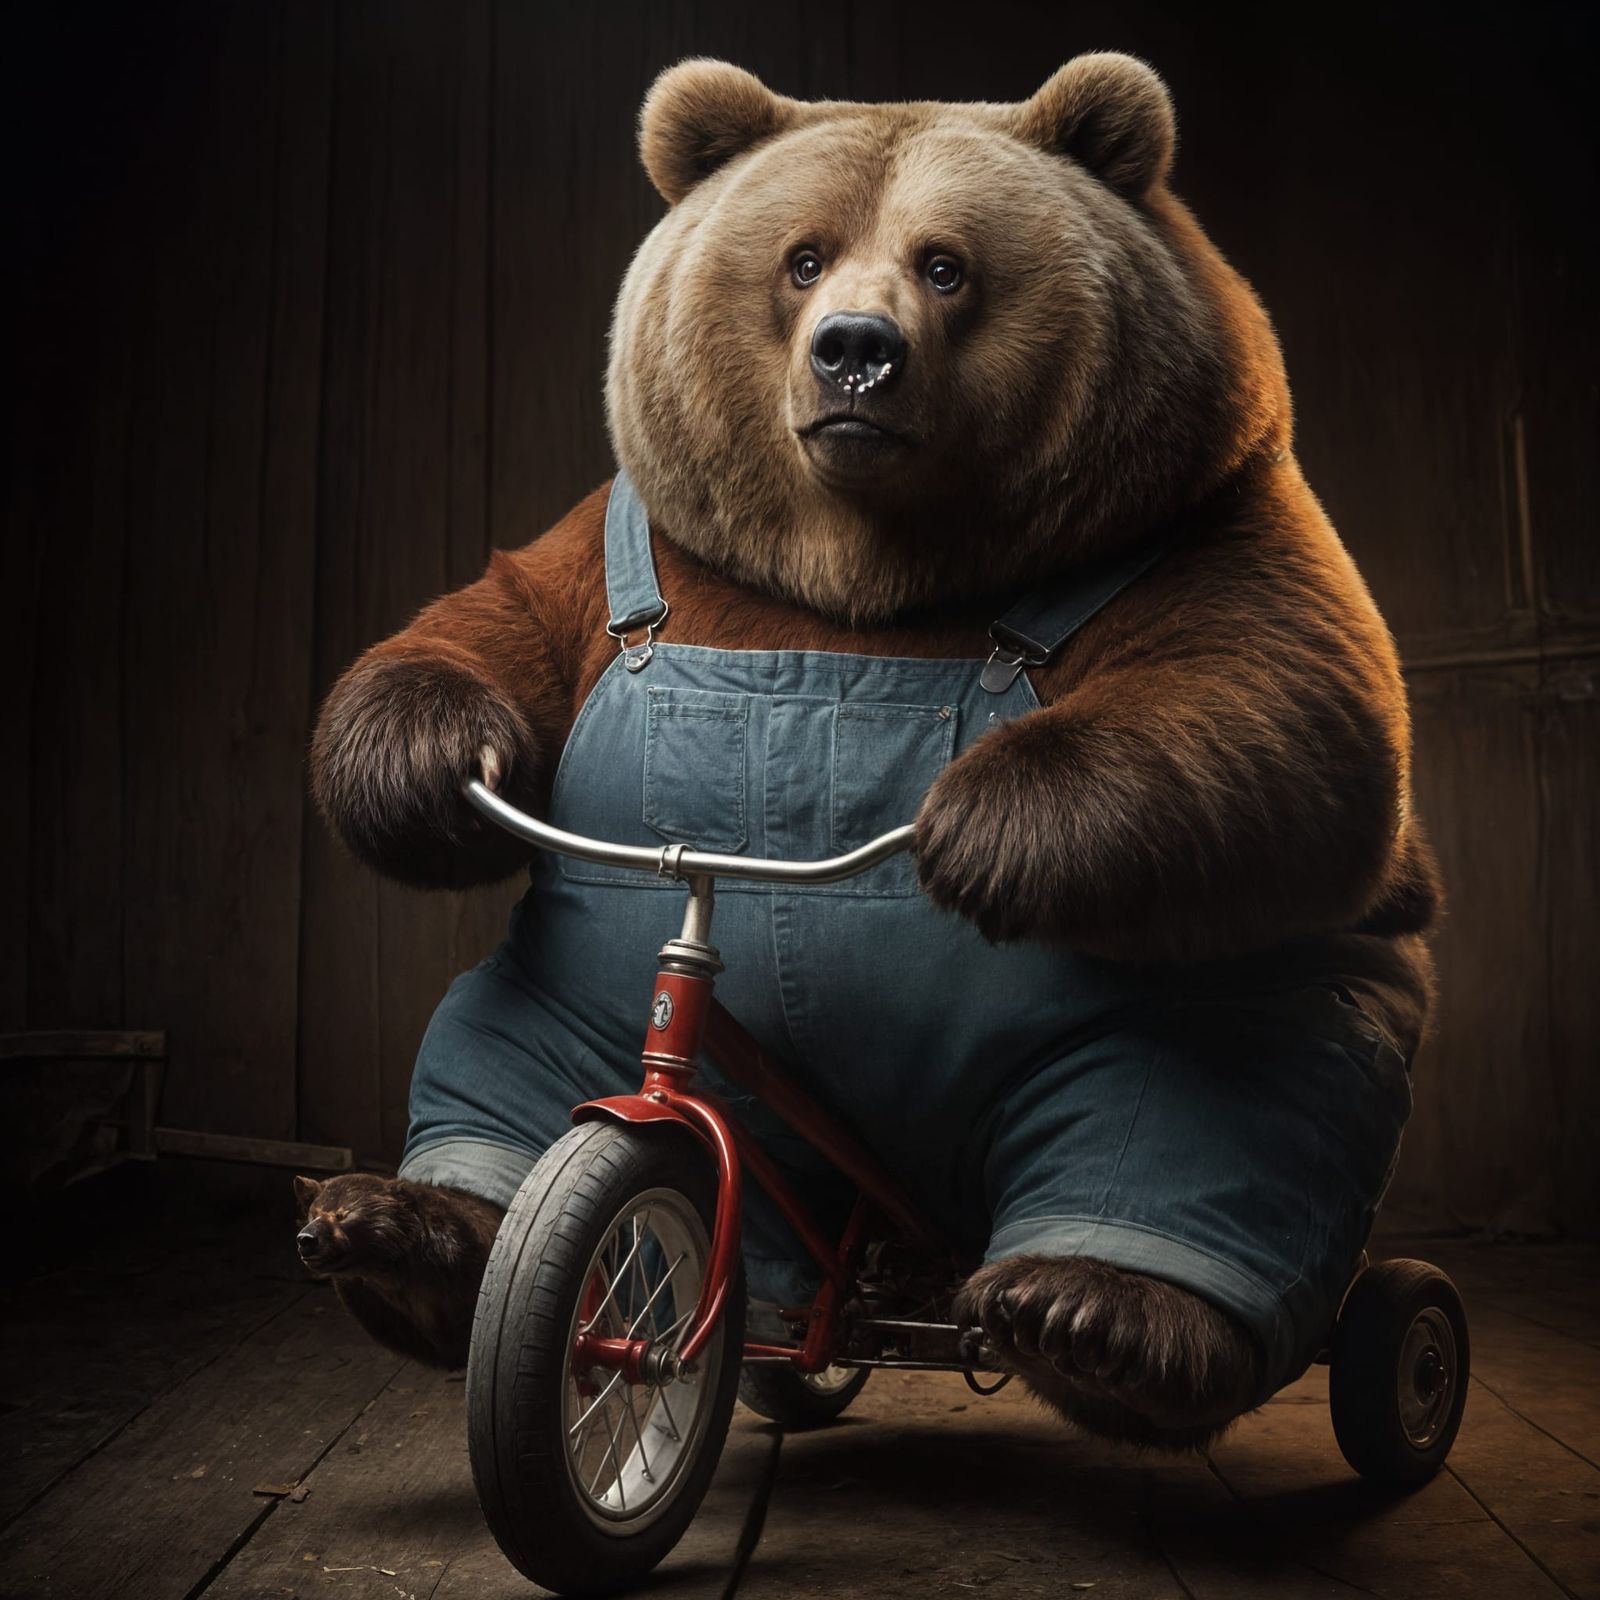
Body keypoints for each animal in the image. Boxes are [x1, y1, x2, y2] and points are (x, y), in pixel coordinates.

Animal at [306, 53, 1436, 1449]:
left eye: (945, 265)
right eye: (801, 258)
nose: (855, 349)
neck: (862, 588)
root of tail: (913, 1242)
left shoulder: (1200, 522)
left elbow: (1291, 700)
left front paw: (989, 824)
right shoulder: (636, 549)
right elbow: (488, 623)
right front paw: (422, 757)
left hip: (1236, 1001)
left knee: (1212, 1123)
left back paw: (1105, 1314)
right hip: (580, 981)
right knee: (505, 1069)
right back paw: (405, 1230)